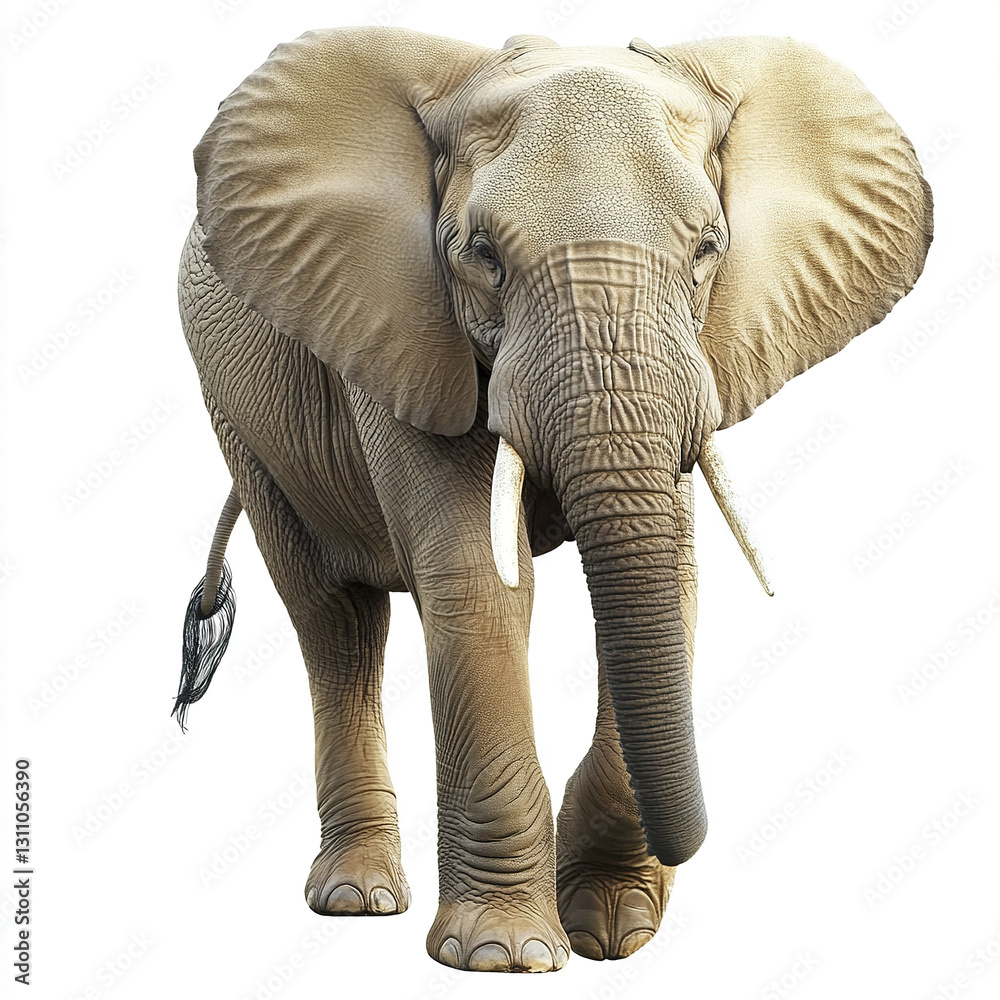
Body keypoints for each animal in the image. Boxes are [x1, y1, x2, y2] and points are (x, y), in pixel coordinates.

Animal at [172, 27, 932, 973]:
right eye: (483, 256)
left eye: (707, 249)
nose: (685, 848)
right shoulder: (405, 328)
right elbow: (478, 582)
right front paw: (504, 955)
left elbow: (673, 577)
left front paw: (611, 929)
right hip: (237, 409)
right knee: (333, 619)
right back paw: (356, 900)